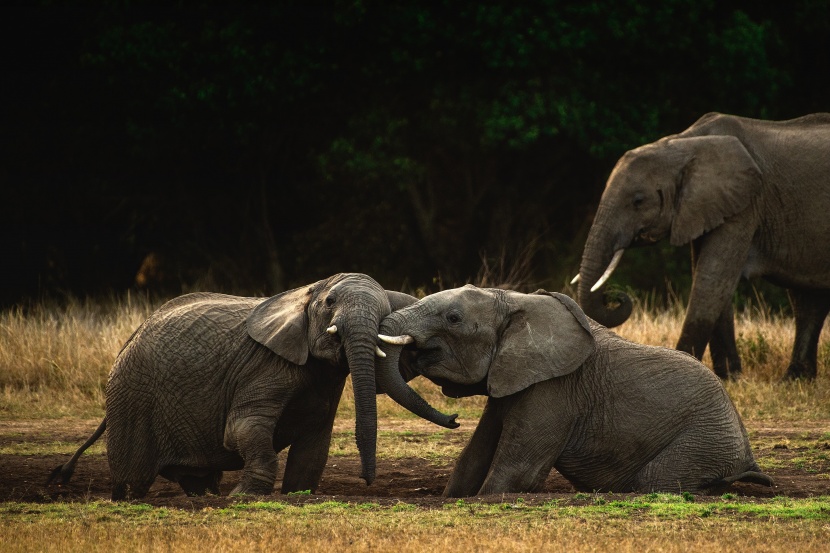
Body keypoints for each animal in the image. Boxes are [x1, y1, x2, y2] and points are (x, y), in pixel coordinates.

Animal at [48, 272, 458, 500]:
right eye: (329, 303)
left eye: (386, 307)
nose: (368, 481)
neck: (305, 293)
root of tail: (129, 340)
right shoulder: (263, 366)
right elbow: (242, 428)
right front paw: (244, 495)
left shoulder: (324, 382)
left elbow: (314, 445)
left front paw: (297, 494)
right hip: (131, 398)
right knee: (133, 481)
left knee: (195, 478)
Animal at [376, 284, 772, 496]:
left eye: (454, 318)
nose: (454, 418)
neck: (515, 299)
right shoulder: (514, 376)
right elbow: (472, 457)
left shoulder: (556, 389)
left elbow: (518, 471)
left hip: (704, 440)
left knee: (655, 479)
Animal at [576, 111, 830, 380]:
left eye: (638, 201)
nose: (614, 296)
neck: (682, 143)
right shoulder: (705, 207)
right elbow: (710, 277)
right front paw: (729, 376)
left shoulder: (745, 205)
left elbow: (711, 278)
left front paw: (686, 365)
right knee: (809, 300)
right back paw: (796, 378)